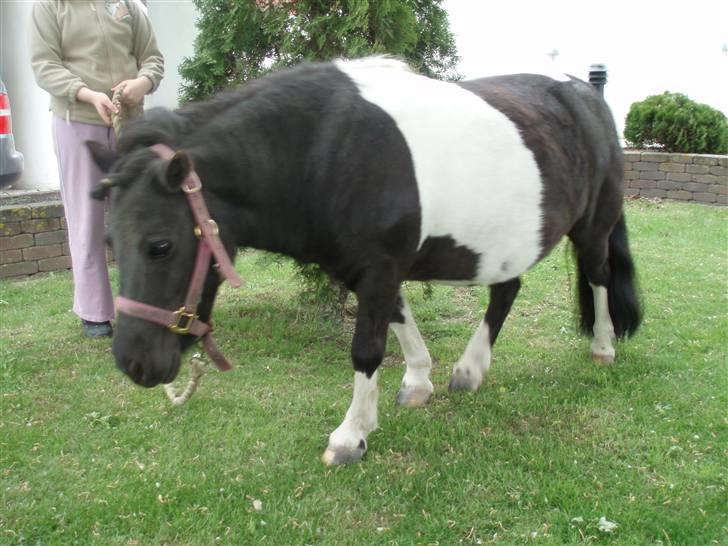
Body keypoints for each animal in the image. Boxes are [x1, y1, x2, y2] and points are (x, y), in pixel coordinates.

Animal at [91, 56, 644, 464]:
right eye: (109, 241)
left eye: (160, 245)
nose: (134, 362)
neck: (323, 149)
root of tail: (589, 94)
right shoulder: (371, 270)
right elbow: (398, 324)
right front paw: (417, 382)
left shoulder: (380, 267)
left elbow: (366, 349)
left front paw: (350, 435)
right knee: (507, 289)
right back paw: (470, 370)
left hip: (594, 227)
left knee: (598, 276)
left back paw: (602, 348)